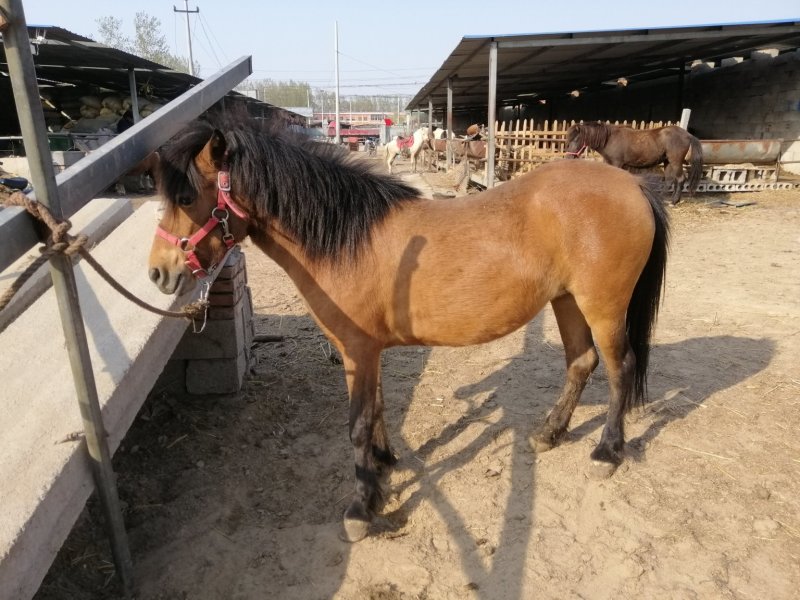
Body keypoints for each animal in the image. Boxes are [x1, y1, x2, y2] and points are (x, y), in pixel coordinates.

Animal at [148, 115, 670, 543]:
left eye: (187, 197)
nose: (158, 273)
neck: (347, 239)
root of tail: (632, 186)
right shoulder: (367, 352)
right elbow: (377, 409)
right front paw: (383, 466)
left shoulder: (358, 350)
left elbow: (358, 422)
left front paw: (361, 507)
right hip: (568, 302)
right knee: (581, 362)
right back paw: (550, 432)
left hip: (603, 306)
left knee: (620, 368)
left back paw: (606, 452)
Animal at [564, 121, 703, 204]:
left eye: (576, 139)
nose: (569, 157)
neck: (609, 139)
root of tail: (688, 135)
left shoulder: (617, 163)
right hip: (667, 161)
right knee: (669, 180)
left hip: (675, 161)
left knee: (680, 179)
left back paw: (674, 201)